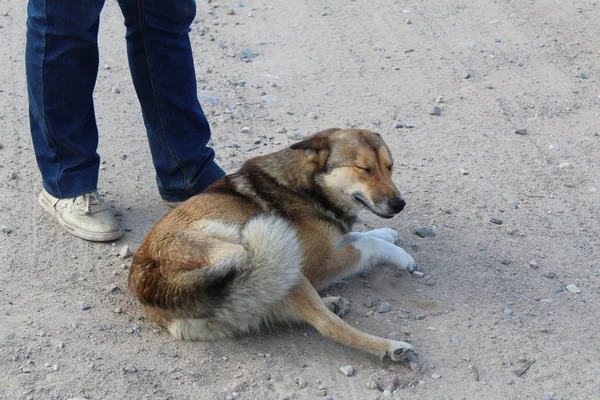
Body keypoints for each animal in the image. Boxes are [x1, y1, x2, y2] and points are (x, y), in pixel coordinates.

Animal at [127, 129, 418, 362]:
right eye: (364, 169)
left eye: (390, 167)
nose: (399, 204)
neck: (308, 185)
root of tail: (159, 287)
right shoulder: (316, 262)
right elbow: (366, 243)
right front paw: (400, 255)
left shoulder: (331, 239)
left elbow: (359, 236)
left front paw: (387, 234)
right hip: (276, 256)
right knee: (326, 324)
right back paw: (390, 347)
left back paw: (332, 303)